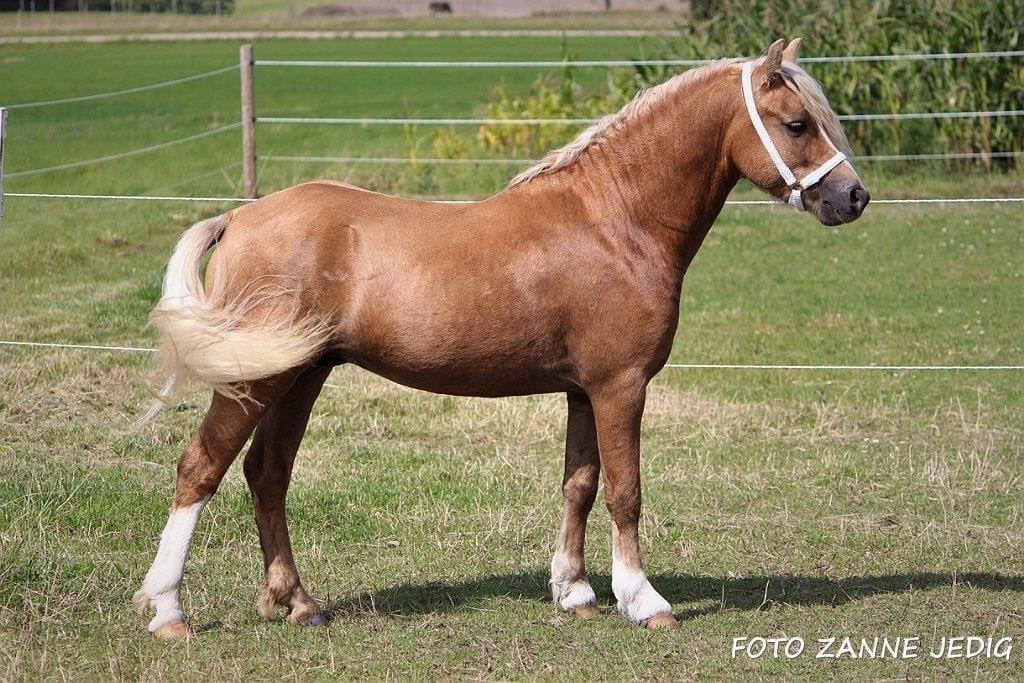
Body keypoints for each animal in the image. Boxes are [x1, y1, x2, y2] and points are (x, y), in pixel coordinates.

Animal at [133, 38, 869, 637]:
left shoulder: (583, 390)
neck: (614, 219)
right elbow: (625, 490)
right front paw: (642, 598)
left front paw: (575, 591)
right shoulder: (621, 386)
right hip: (257, 378)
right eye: (797, 123)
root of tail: (240, 217)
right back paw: (168, 611)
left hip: (301, 376)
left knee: (267, 473)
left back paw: (295, 601)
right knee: (201, 467)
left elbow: (580, 482)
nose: (853, 197)